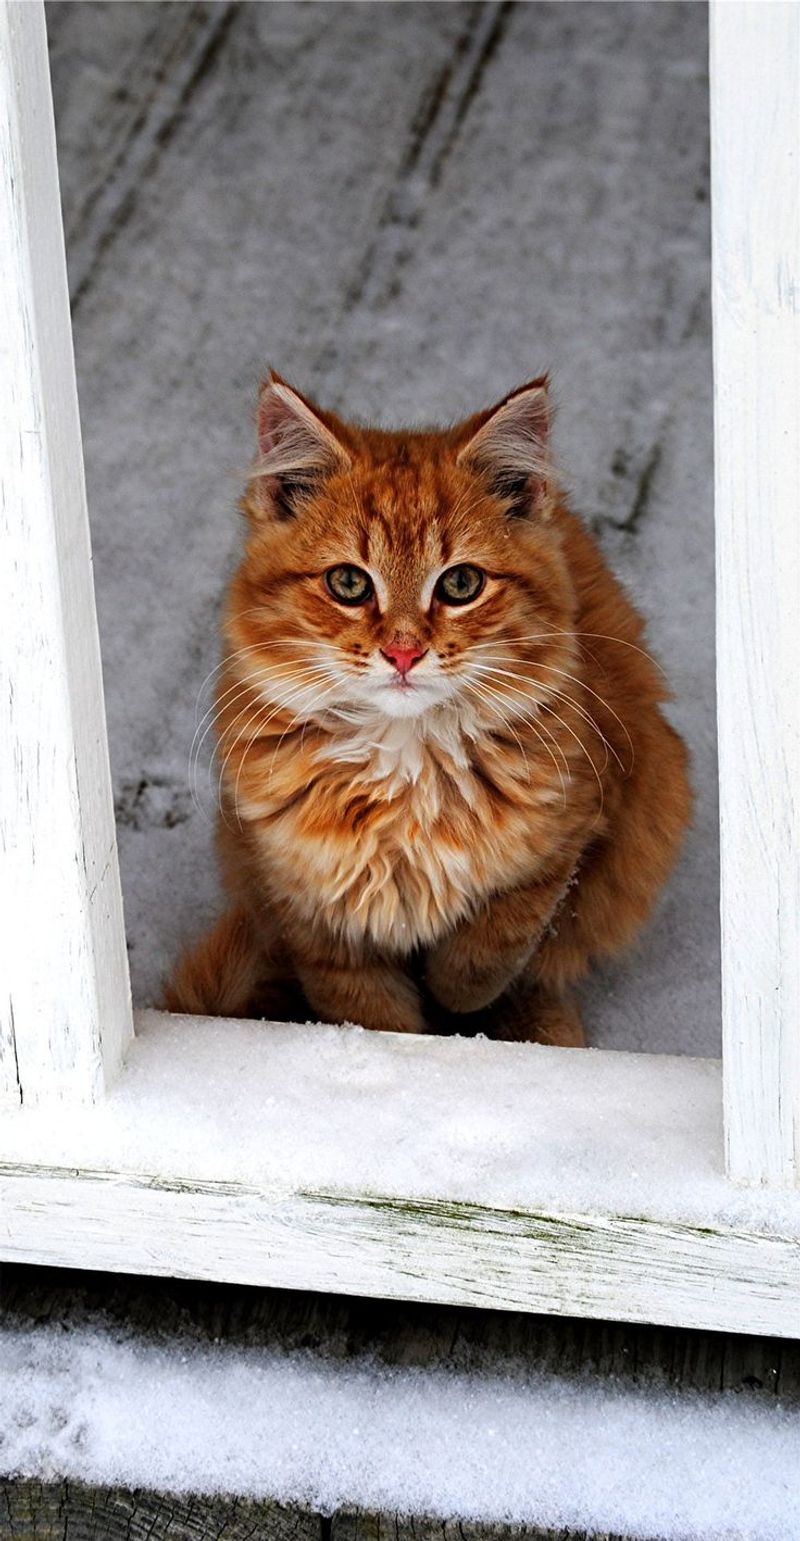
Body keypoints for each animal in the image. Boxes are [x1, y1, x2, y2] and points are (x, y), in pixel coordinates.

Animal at [165, 374, 690, 1047]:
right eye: (349, 584)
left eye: (460, 585)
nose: (404, 652)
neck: (406, 761)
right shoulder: (311, 909)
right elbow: (376, 1018)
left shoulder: (574, 833)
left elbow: (495, 945)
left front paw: (459, 1001)